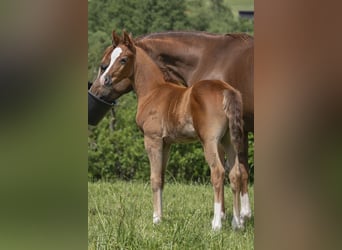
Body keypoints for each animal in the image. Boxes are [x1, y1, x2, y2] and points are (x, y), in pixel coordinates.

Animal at [90, 31, 251, 230]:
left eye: (123, 59)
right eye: (108, 60)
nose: (104, 81)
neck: (153, 90)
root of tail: (225, 90)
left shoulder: (152, 139)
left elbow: (154, 178)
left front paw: (156, 220)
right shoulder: (166, 143)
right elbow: (162, 177)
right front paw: (161, 217)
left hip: (210, 141)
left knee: (218, 172)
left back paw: (216, 224)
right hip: (228, 139)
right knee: (235, 173)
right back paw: (237, 224)